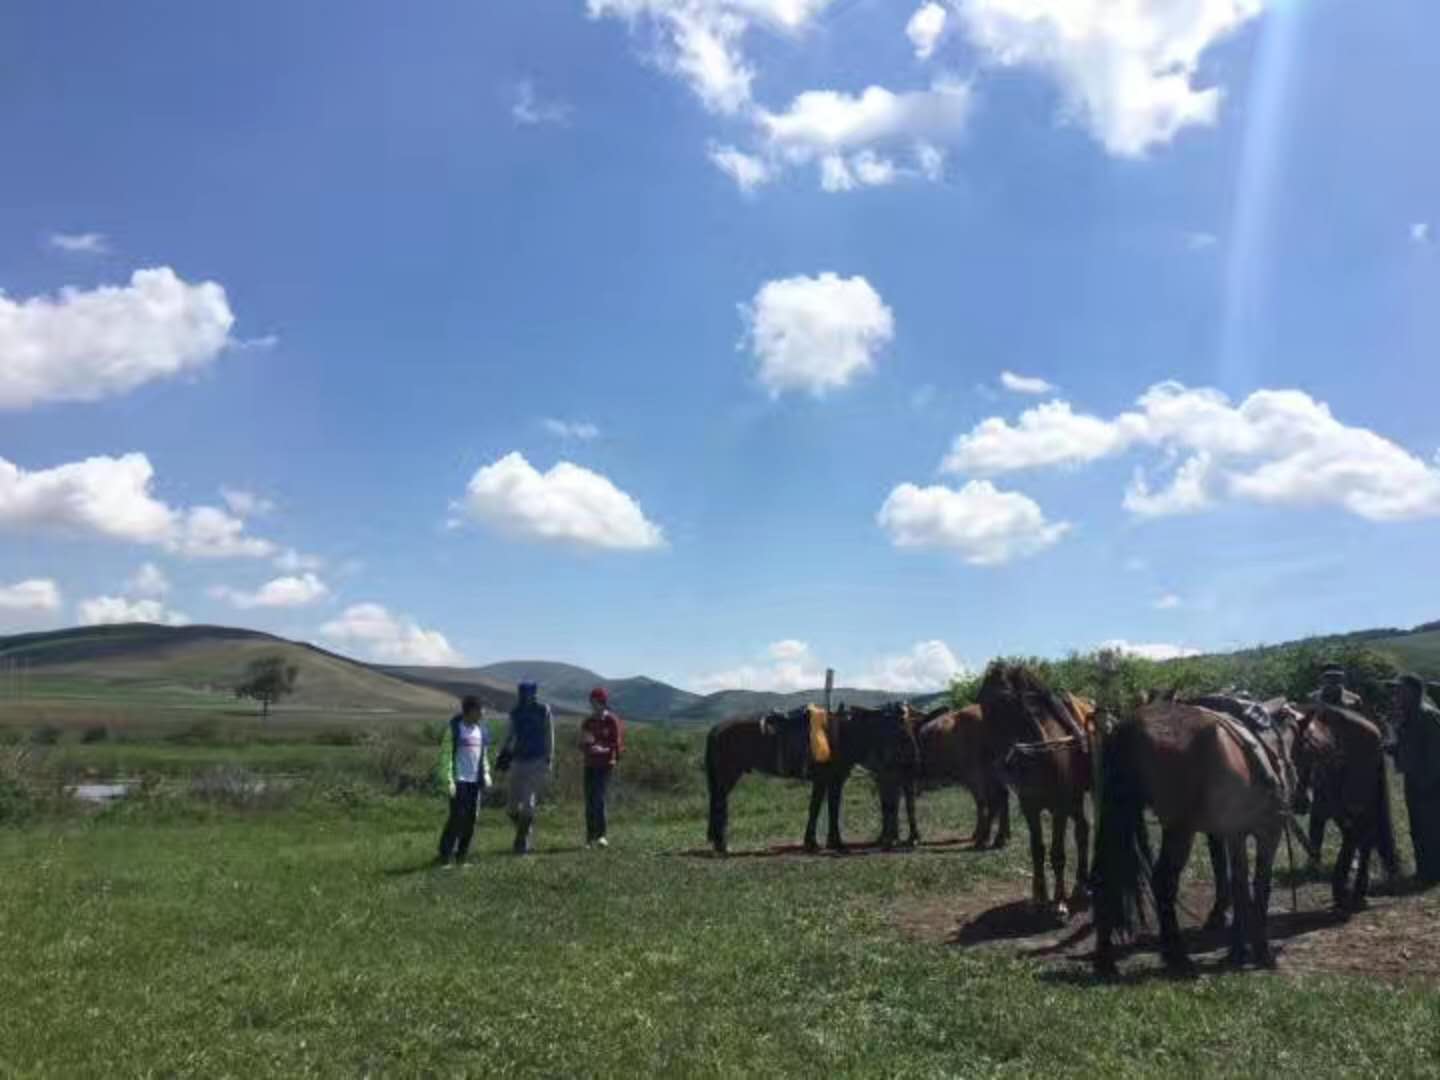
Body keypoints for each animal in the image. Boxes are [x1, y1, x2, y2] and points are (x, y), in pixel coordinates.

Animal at [702, 705, 915, 858]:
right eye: (902, 731)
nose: (913, 757)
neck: (842, 733)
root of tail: (716, 729)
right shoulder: (827, 780)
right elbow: (823, 809)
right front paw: (825, 843)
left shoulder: (830, 780)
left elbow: (824, 808)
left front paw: (824, 842)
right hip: (728, 776)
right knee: (720, 805)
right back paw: (722, 846)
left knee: (719, 805)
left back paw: (720, 844)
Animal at [979, 668, 1088, 921]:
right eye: (982, 705)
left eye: (1006, 700)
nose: (1002, 764)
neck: (1042, 754)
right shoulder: (1030, 809)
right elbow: (1037, 850)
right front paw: (1039, 900)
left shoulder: (1059, 809)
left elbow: (1057, 854)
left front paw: (1060, 903)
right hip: (1075, 801)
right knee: (1083, 830)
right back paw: (1081, 883)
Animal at [1088, 696, 1307, 979]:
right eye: (1304, 745)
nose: (1303, 800)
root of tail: (1128, 727)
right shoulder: (1268, 832)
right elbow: (1260, 886)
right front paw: (1261, 952)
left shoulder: (1233, 834)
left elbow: (1238, 886)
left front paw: (1238, 951)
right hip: (1180, 829)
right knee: (1163, 881)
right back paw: (1177, 958)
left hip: (1121, 817)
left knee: (1106, 876)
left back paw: (1106, 961)